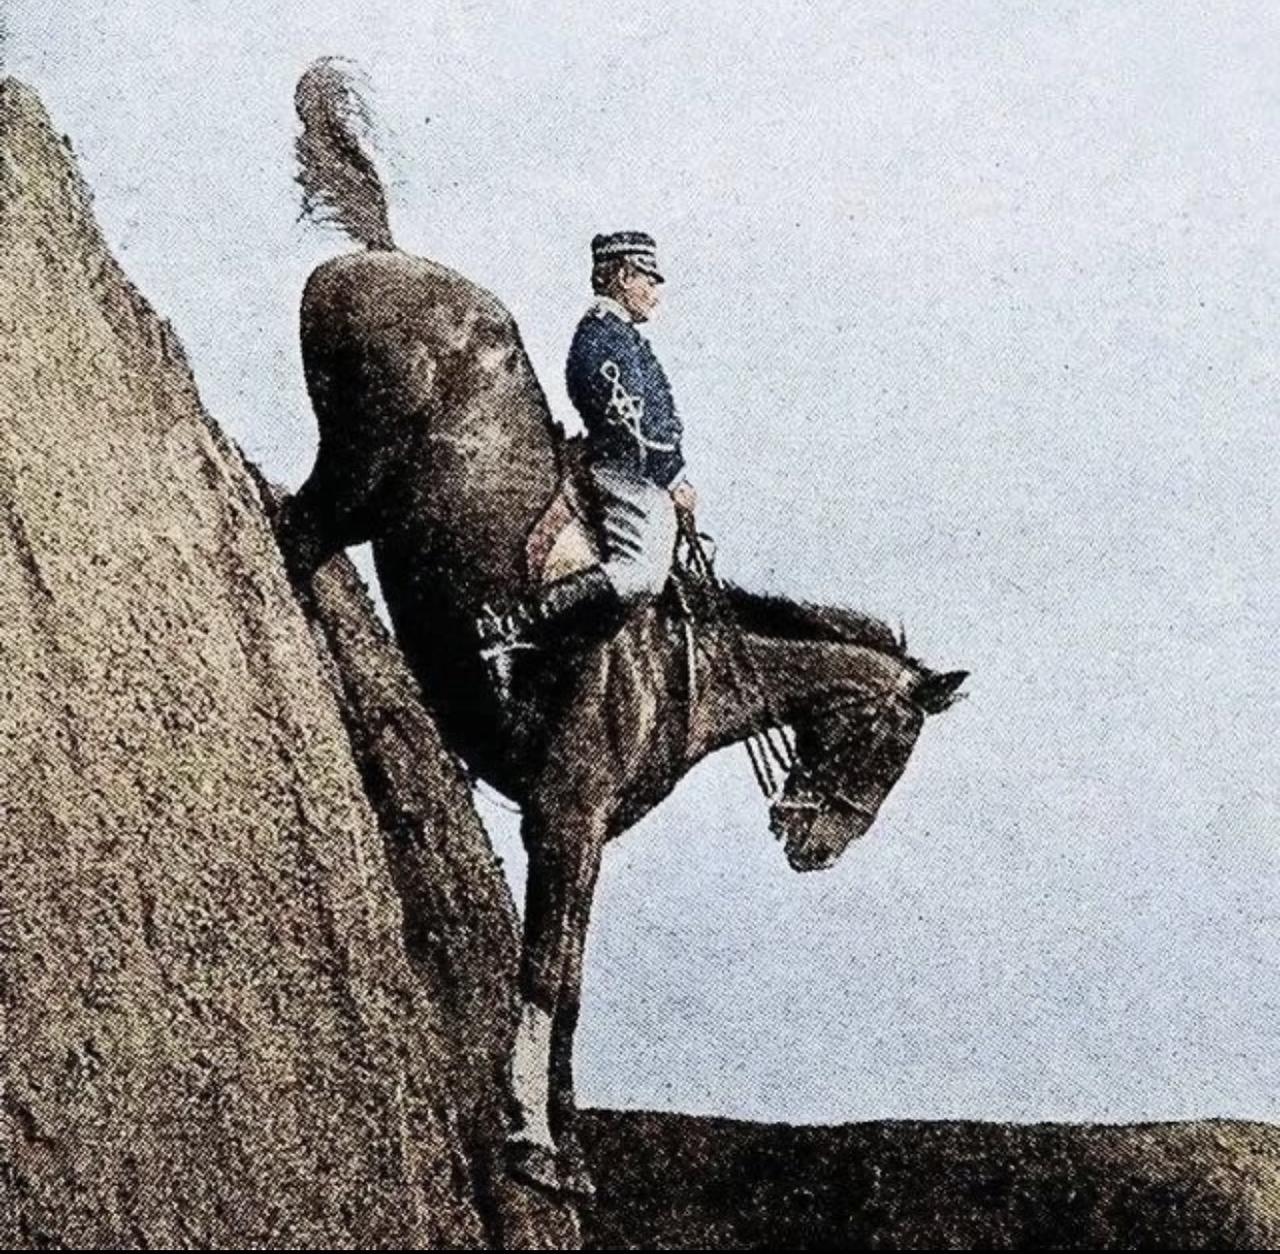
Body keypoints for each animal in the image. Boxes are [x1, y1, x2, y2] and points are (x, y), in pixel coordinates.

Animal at [277, 59, 967, 1199]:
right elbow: (546, 971)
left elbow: (574, 987)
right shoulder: (563, 813)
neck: (678, 666)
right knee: (292, 531)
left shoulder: (586, 832)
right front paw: (529, 1140)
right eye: (894, 744)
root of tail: (383, 255)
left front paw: (567, 1146)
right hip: (357, 469)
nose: (817, 847)